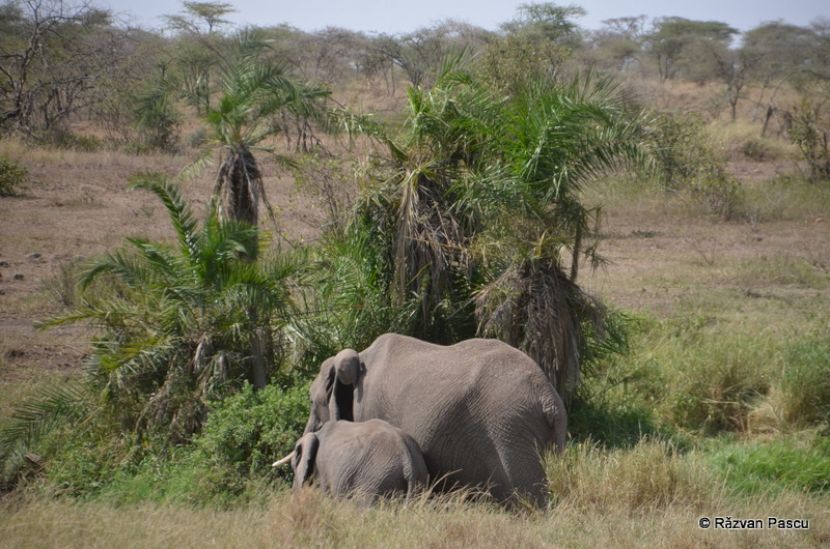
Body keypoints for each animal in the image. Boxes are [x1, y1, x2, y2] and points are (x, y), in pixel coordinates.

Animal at [285, 419, 428, 502]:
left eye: (293, 465)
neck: (316, 434)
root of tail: (407, 460)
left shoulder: (322, 470)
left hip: (375, 481)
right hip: (418, 478)